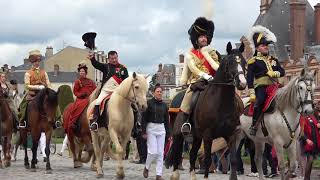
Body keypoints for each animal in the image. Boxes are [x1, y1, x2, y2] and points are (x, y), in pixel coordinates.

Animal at [170, 41, 248, 179]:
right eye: (230, 62)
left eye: (244, 62)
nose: (242, 84)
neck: (221, 104)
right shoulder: (208, 136)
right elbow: (207, 160)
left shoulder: (231, 135)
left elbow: (233, 160)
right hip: (178, 134)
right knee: (176, 153)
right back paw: (175, 175)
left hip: (196, 137)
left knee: (192, 155)